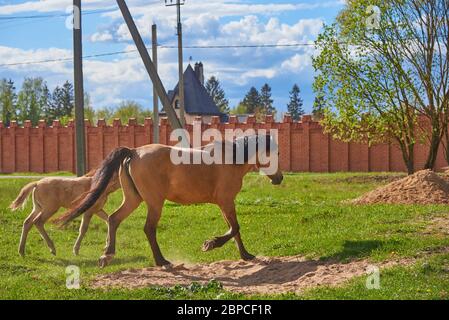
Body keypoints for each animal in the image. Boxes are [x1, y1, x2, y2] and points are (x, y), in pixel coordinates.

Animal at [55, 135, 280, 268]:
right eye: (275, 153)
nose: (279, 178)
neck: (232, 159)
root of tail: (134, 152)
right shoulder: (226, 201)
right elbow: (234, 229)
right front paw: (210, 244)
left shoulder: (226, 204)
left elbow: (235, 230)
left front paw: (246, 255)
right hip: (154, 202)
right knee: (148, 228)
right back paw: (161, 261)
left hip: (133, 199)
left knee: (113, 219)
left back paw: (107, 256)